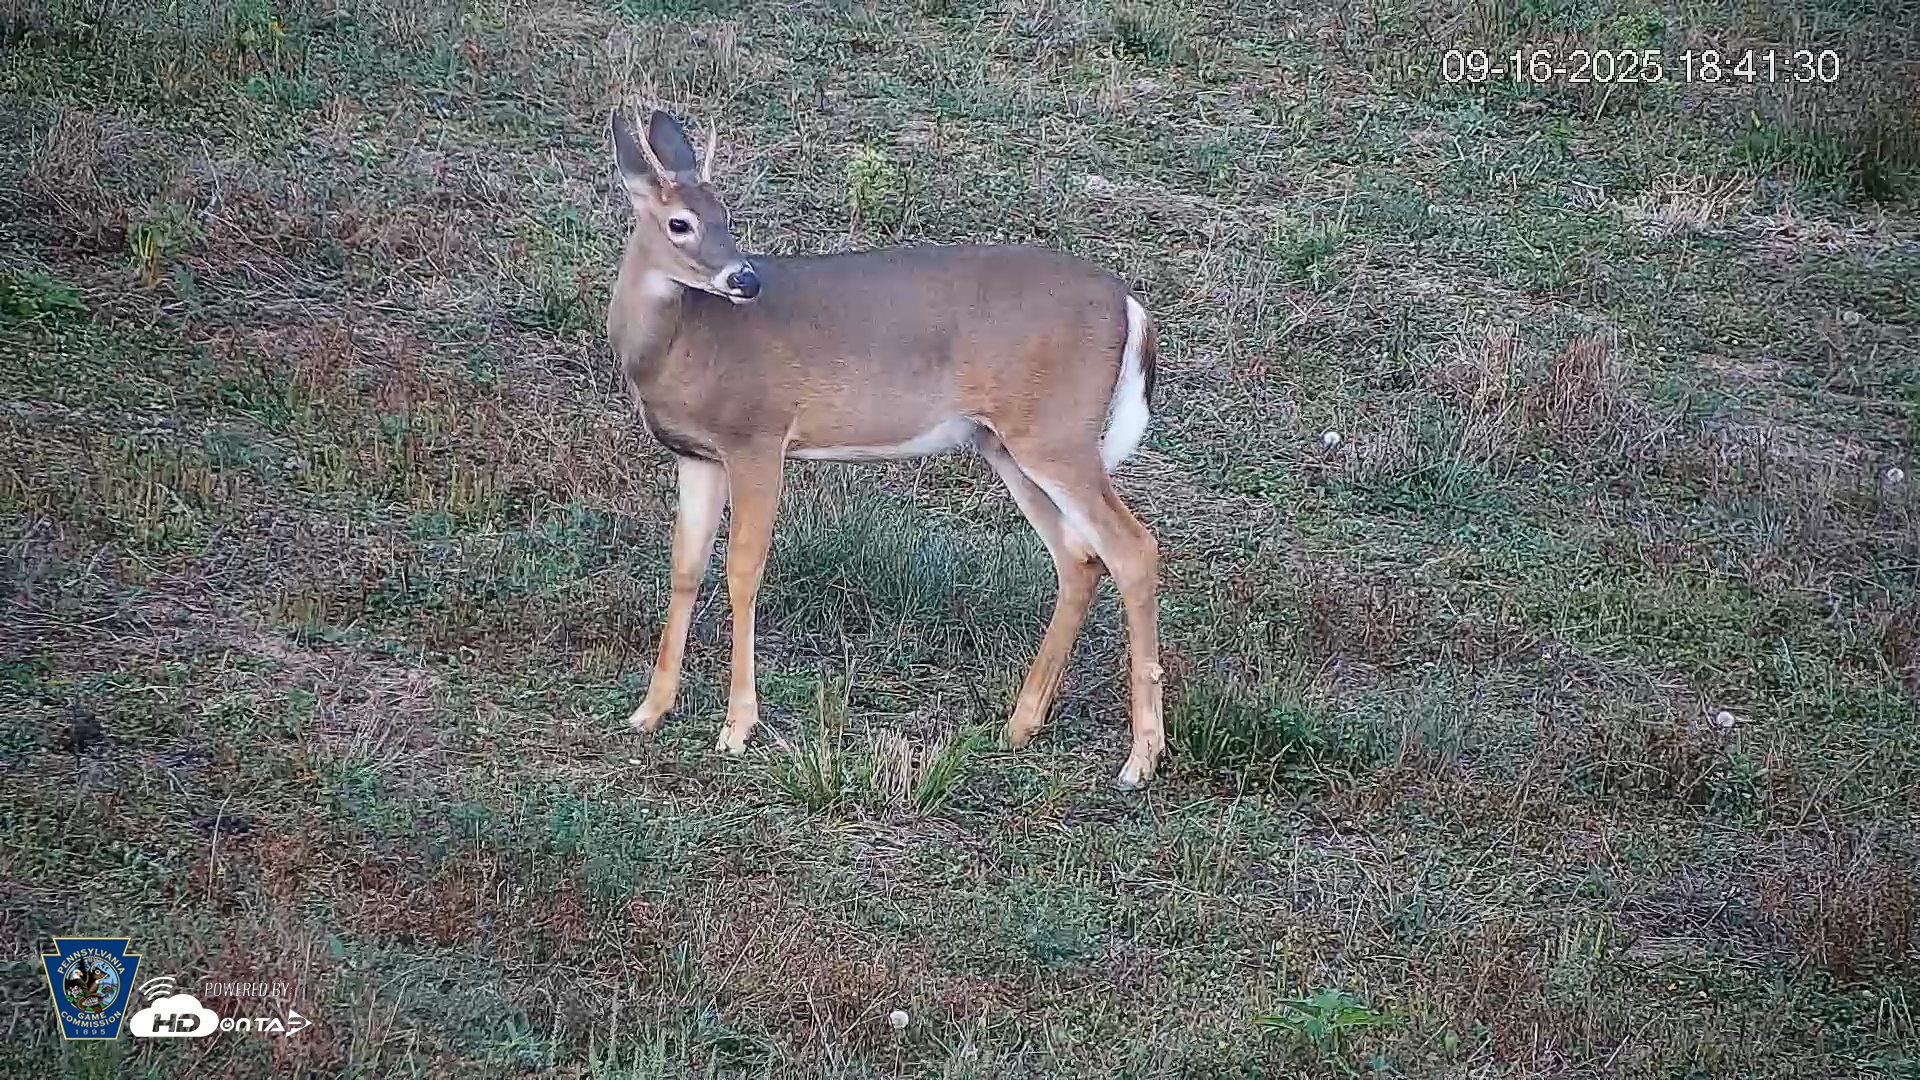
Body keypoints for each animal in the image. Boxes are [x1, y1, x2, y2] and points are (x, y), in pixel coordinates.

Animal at [604, 107, 1167, 788]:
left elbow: (743, 569)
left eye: (727, 216)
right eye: (681, 222)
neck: (681, 345)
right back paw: (1020, 724)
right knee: (1079, 557)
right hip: (1006, 443)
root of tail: (1131, 306)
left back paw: (1141, 758)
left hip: (1057, 432)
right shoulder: (697, 454)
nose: (744, 278)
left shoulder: (758, 437)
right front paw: (649, 710)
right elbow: (686, 565)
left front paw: (737, 728)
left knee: (1131, 547)